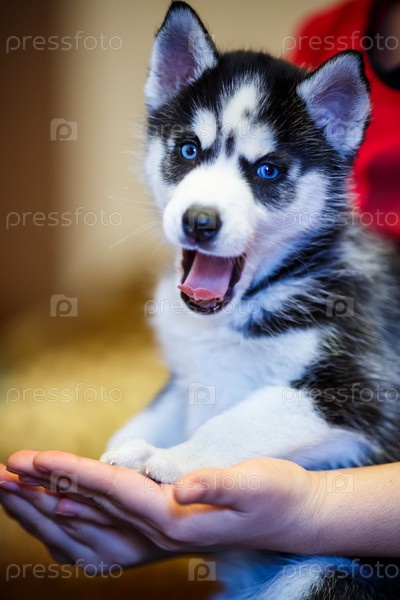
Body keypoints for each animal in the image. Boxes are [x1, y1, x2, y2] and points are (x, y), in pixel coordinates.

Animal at [101, 2, 400, 597]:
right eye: (188, 150)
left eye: (267, 170)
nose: (199, 221)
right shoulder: (189, 372)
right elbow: (159, 409)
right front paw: (121, 447)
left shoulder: (364, 392)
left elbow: (236, 421)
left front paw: (173, 459)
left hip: (321, 576)